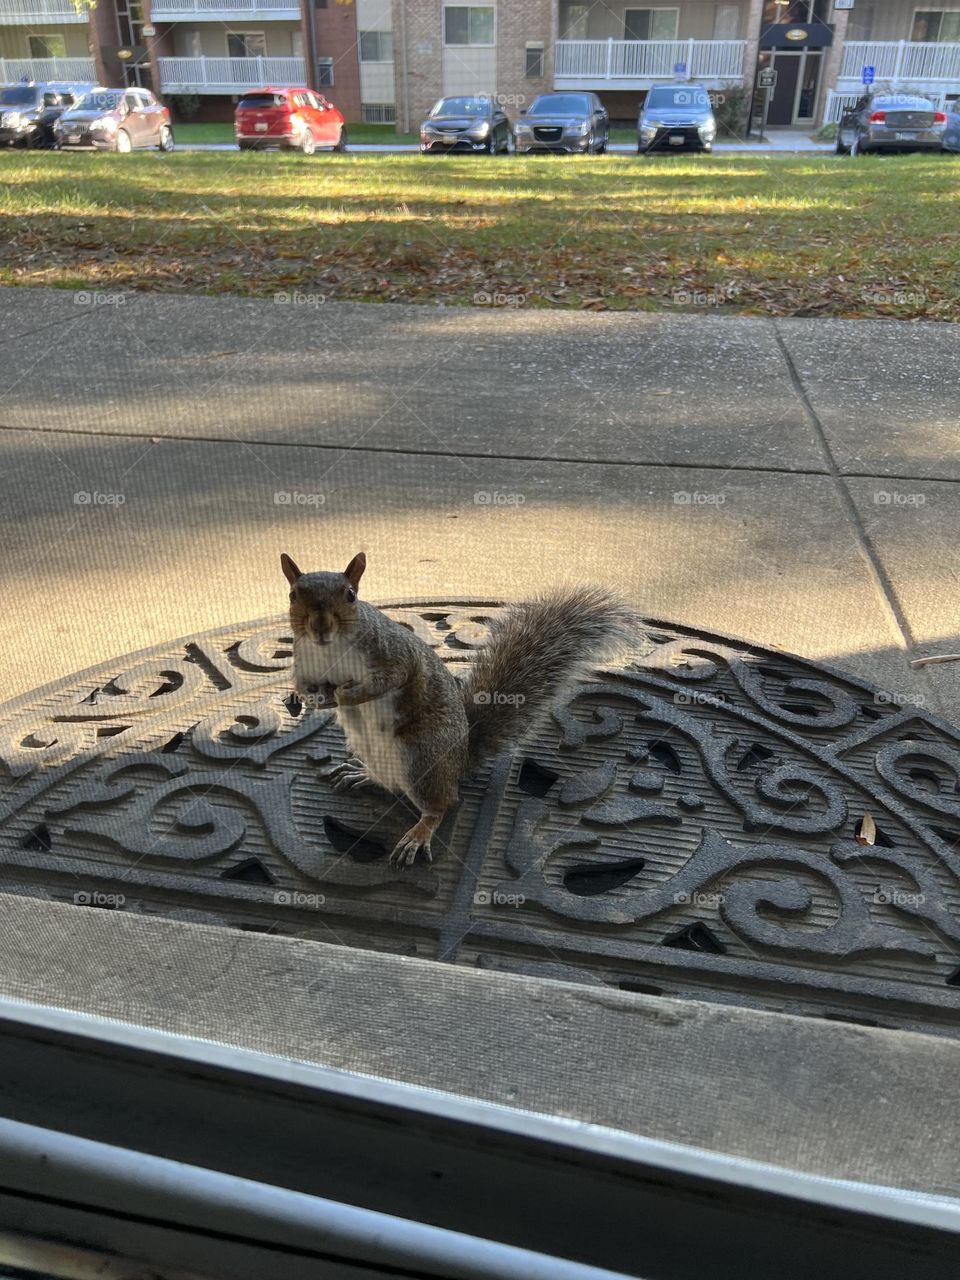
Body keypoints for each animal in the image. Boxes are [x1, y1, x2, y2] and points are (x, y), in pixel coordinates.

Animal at [281, 551, 634, 868]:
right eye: (293, 595)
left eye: (351, 596)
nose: (320, 627)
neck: (329, 652)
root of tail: (460, 761)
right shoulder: (306, 666)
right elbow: (305, 686)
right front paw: (306, 699)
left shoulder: (393, 654)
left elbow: (391, 679)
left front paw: (346, 695)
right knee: (390, 783)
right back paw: (364, 774)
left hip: (420, 756)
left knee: (443, 803)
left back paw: (420, 832)